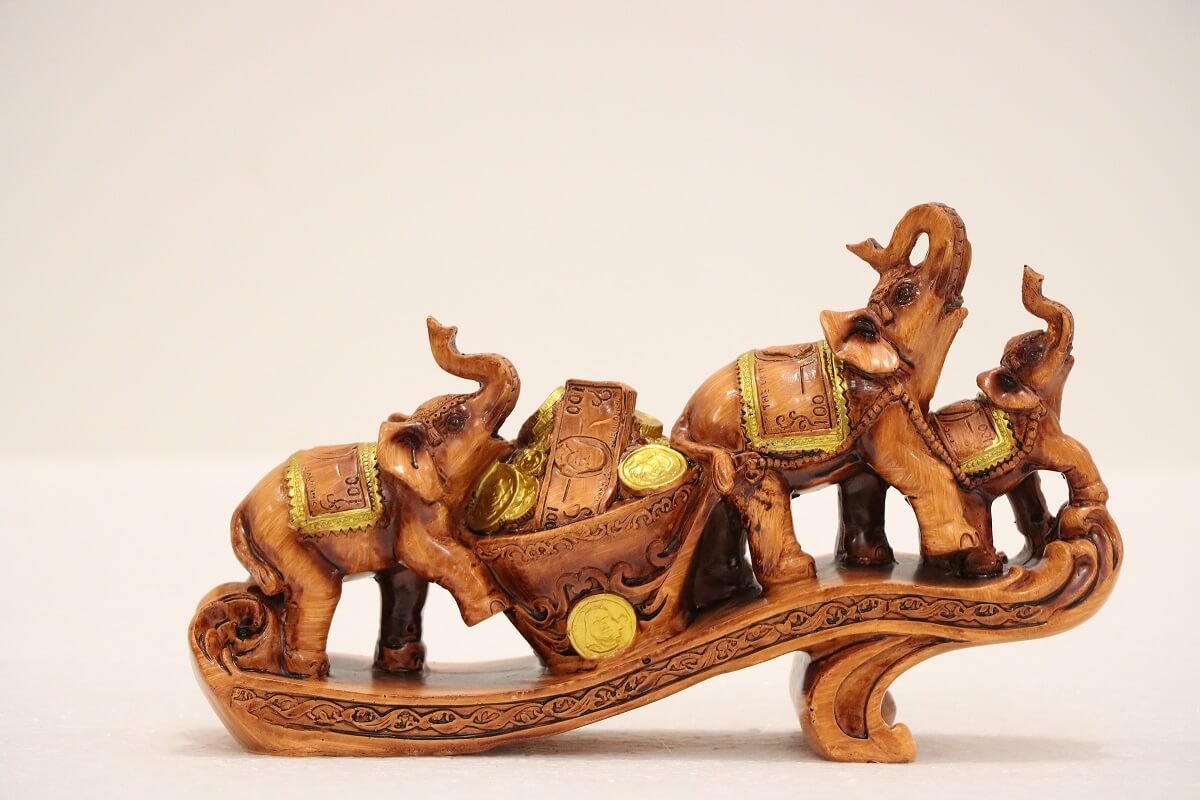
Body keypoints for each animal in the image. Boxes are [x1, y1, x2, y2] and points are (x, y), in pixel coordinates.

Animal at [230, 318, 518, 677]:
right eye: (455, 421)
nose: (445, 328)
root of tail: (242, 508)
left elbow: (407, 579)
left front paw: (403, 667)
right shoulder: (412, 507)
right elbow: (427, 554)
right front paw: (496, 607)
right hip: (284, 540)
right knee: (318, 590)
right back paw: (309, 672)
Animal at [672, 202, 1002, 594]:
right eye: (905, 293)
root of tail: (685, 416)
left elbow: (866, 480)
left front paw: (873, 561)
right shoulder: (881, 408)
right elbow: (909, 465)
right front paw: (962, 545)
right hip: (737, 449)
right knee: (761, 495)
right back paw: (795, 574)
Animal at [836, 267, 1108, 566]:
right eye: (1035, 353)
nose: (1034, 274)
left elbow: (1028, 487)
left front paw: (1049, 535)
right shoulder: (1040, 439)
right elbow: (1071, 450)